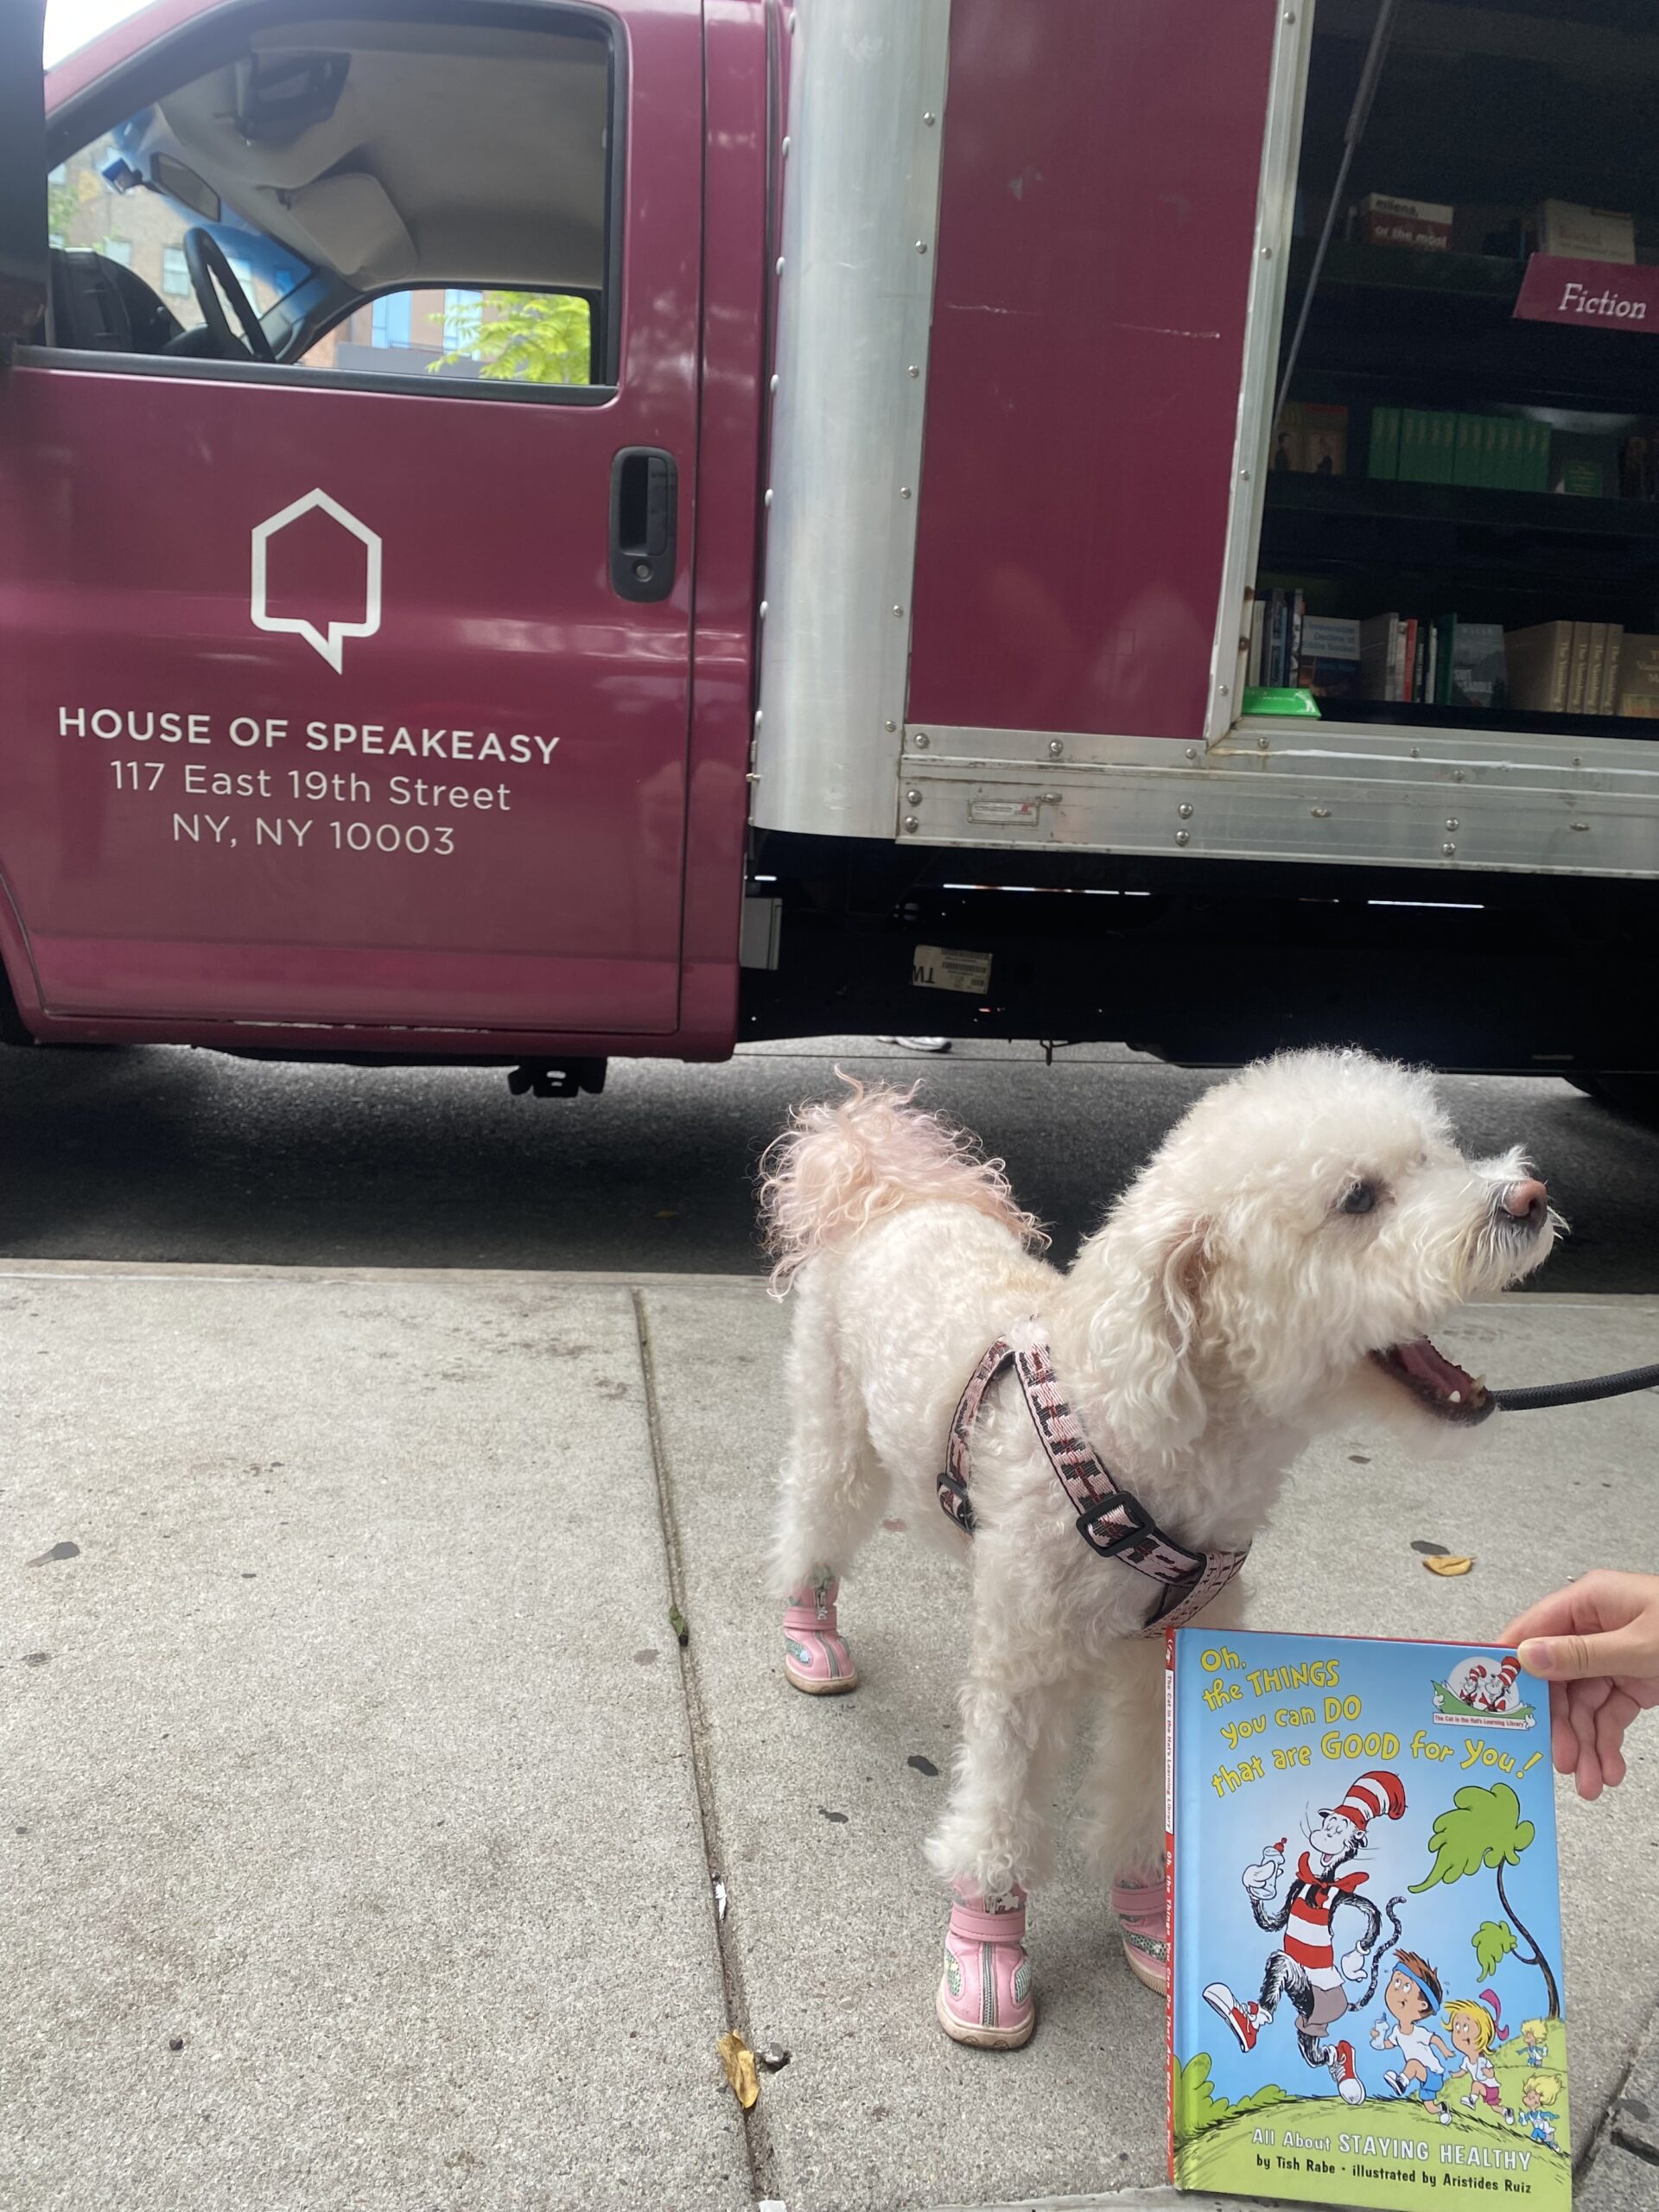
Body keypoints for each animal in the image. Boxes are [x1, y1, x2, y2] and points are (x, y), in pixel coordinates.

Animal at [760, 1044, 1566, 2044]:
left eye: (1438, 1155)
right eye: (1359, 1197)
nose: (1528, 1197)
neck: (1150, 1431)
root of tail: (889, 1189)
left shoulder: (1161, 1658)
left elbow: (1145, 1784)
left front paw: (1146, 1910)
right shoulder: (1028, 1665)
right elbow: (999, 1808)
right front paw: (988, 1940)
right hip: (838, 1426)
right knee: (814, 1515)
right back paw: (810, 1631)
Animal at [1203, 1760, 1407, 2106]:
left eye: (1338, 1830)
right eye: (1328, 1825)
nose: (1322, 1836)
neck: (1318, 1881)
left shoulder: (1340, 1893)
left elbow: (1370, 1911)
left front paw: (1354, 1962)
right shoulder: (1297, 1886)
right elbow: (1274, 1923)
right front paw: (1257, 1879)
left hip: (1321, 2005)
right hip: (1307, 2015)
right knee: (1311, 2038)